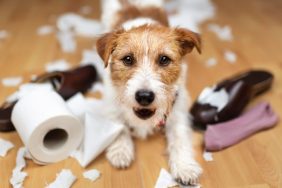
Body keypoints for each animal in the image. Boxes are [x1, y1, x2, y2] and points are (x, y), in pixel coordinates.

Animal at [97, 0, 203, 185]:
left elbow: (180, 138)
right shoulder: (110, 104)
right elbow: (119, 126)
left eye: (164, 59)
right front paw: (120, 151)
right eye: (128, 59)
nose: (144, 97)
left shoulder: (178, 110)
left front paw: (184, 166)